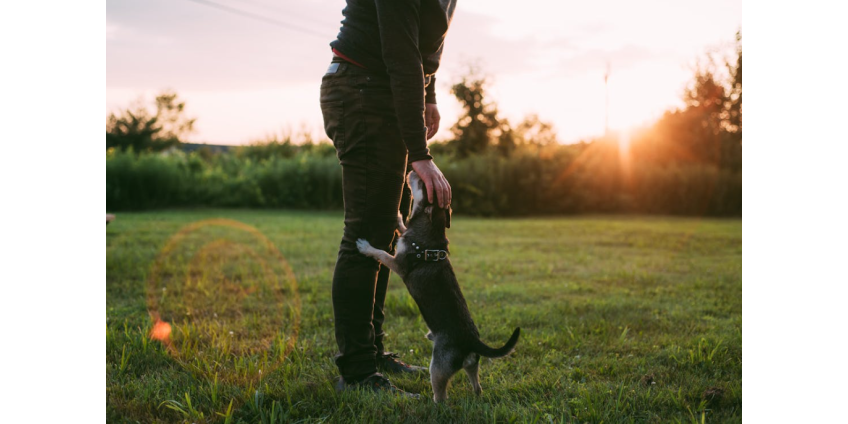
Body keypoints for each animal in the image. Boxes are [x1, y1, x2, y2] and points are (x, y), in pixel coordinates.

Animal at [354, 171, 520, 402]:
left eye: (423, 184)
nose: (412, 171)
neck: (431, 230)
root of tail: (471, 341)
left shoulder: (398, 264)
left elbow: (381, 253)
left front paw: (366, 247)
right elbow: (402, 227)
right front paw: (398, 214)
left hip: (438, 368)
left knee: (441, 396)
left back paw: (431, 403)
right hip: (472, 365)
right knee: (477, 385)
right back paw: (476, 394)